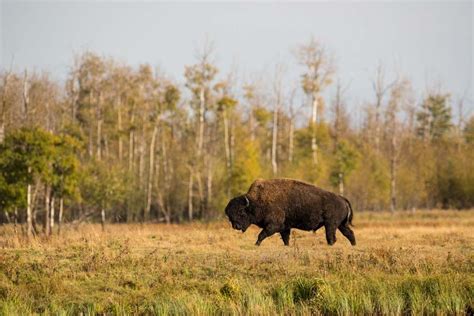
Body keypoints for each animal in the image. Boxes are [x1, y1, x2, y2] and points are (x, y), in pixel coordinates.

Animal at [226, 179, 356, 246]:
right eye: (229, 216)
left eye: (241, 212)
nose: (236, 226)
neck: (256, 201)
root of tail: (342, 198)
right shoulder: (285, 228)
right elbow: (285, 239)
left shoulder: (273, 226)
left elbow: (261, 235)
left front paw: (256, 244)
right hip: (340, 225)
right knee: (349, 233)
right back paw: (353, 245)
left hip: (331, 224)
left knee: (331, 237)